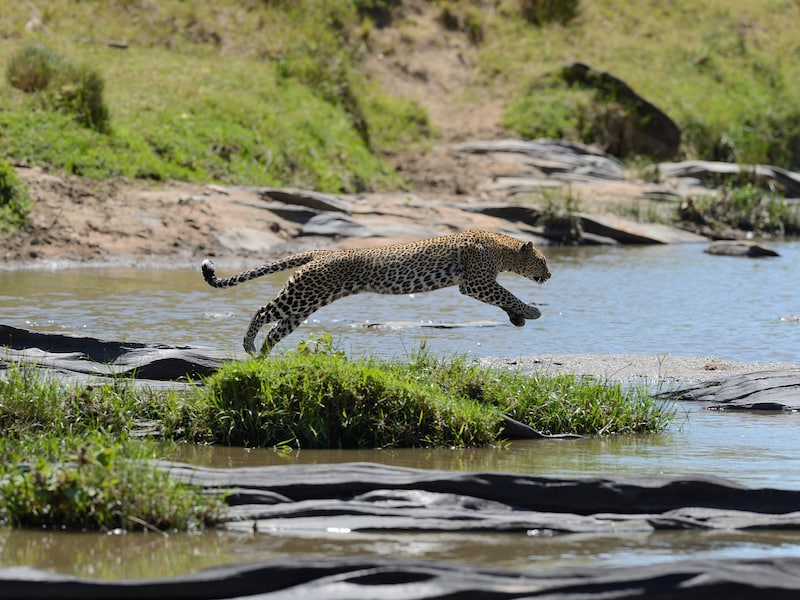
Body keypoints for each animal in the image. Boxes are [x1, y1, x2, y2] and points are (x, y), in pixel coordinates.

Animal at [201, 229, 551, 355]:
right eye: (544, 260)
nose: (549, 275)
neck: (503, 248)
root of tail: (321, 251)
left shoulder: (478, 284)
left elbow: (504, 298)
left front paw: (519, 318)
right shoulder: (476, 282)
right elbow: (507, 294)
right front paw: (532, 311)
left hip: (306, 303)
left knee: (276, 329)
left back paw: (263, 357)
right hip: (301, 295)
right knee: (262, 311)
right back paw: (249, 345)